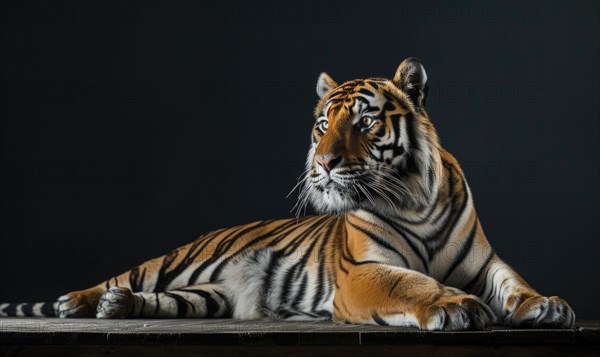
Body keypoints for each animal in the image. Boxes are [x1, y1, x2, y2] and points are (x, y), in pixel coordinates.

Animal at [0, 57, 576, 328]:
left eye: (365, 122)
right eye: (323, 125)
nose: (323, 164)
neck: (415, 201)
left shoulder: (485, 263)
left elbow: (513, 282)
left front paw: (546, 305)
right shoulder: (363, 272)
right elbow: (411, 284)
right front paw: (454, 305)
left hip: (207, 295)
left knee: (164, 299)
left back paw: (117, 307)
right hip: (176, 260)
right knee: (123, 275)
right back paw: (79, 302)